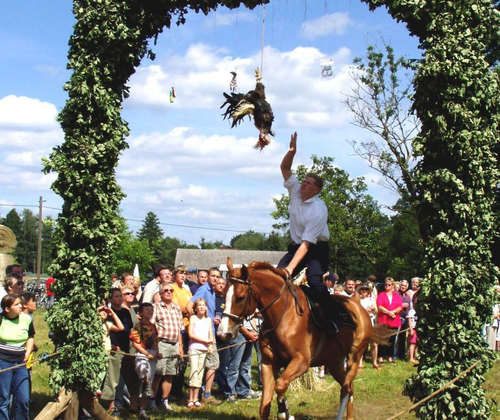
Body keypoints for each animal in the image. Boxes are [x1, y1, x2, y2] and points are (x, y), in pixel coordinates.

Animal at [217, 259, 390, 420]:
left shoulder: (301, 361)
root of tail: (358, 305)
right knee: (349, 389)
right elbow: (264, 405)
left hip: (354, 356)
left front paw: (284, 411)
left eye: (240, 297)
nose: (223, 333)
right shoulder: (267, 363)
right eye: (223, 293)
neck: (283, 314)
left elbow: (280, 385)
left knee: (347, 389)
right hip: (334, 362)